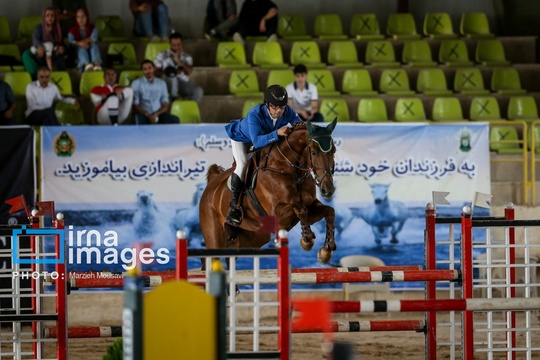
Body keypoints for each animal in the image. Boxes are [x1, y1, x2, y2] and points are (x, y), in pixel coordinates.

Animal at [198, 119, 338, 262]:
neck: (290, 170)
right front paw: (307, 241)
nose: (328, 190)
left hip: (249, 238)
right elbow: (300, 208)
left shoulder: (311, 207)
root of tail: (212, 183)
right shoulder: (278, 215)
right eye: (314, 152)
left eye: (334, 151)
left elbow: (329, 211)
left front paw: (326, 251)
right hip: (214, 237)